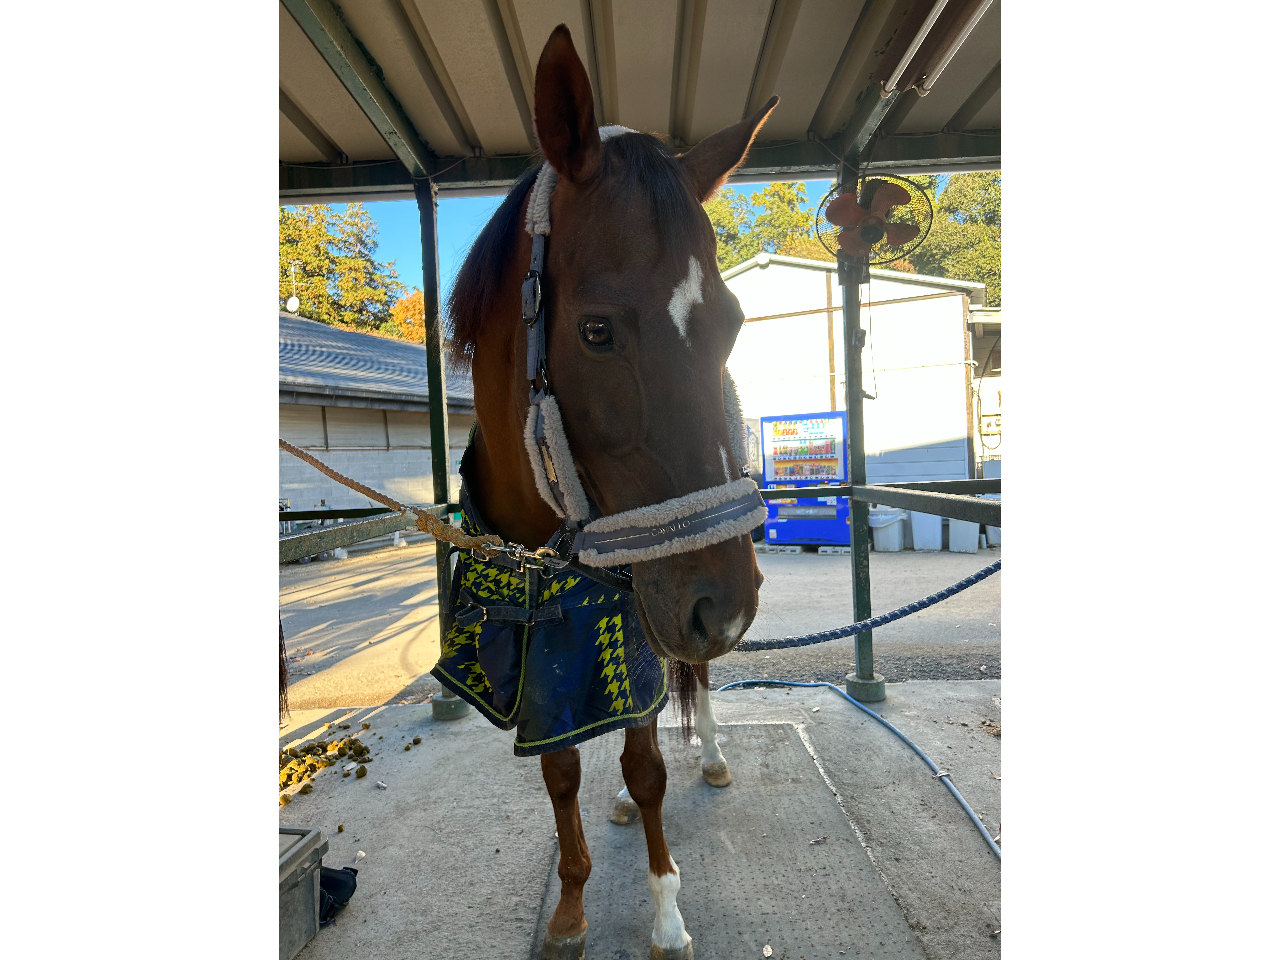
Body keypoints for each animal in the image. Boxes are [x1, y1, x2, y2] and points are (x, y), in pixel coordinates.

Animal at [434, 24, 778, 960]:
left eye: (735, 323)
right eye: (596, 331)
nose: (725, 607)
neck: (535, 544)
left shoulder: (636, 614)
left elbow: (647, 761)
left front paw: (664, 911)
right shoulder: (541, 655)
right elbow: (561, 770)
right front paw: (570, 908)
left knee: (690, 691)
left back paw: (712, 754)